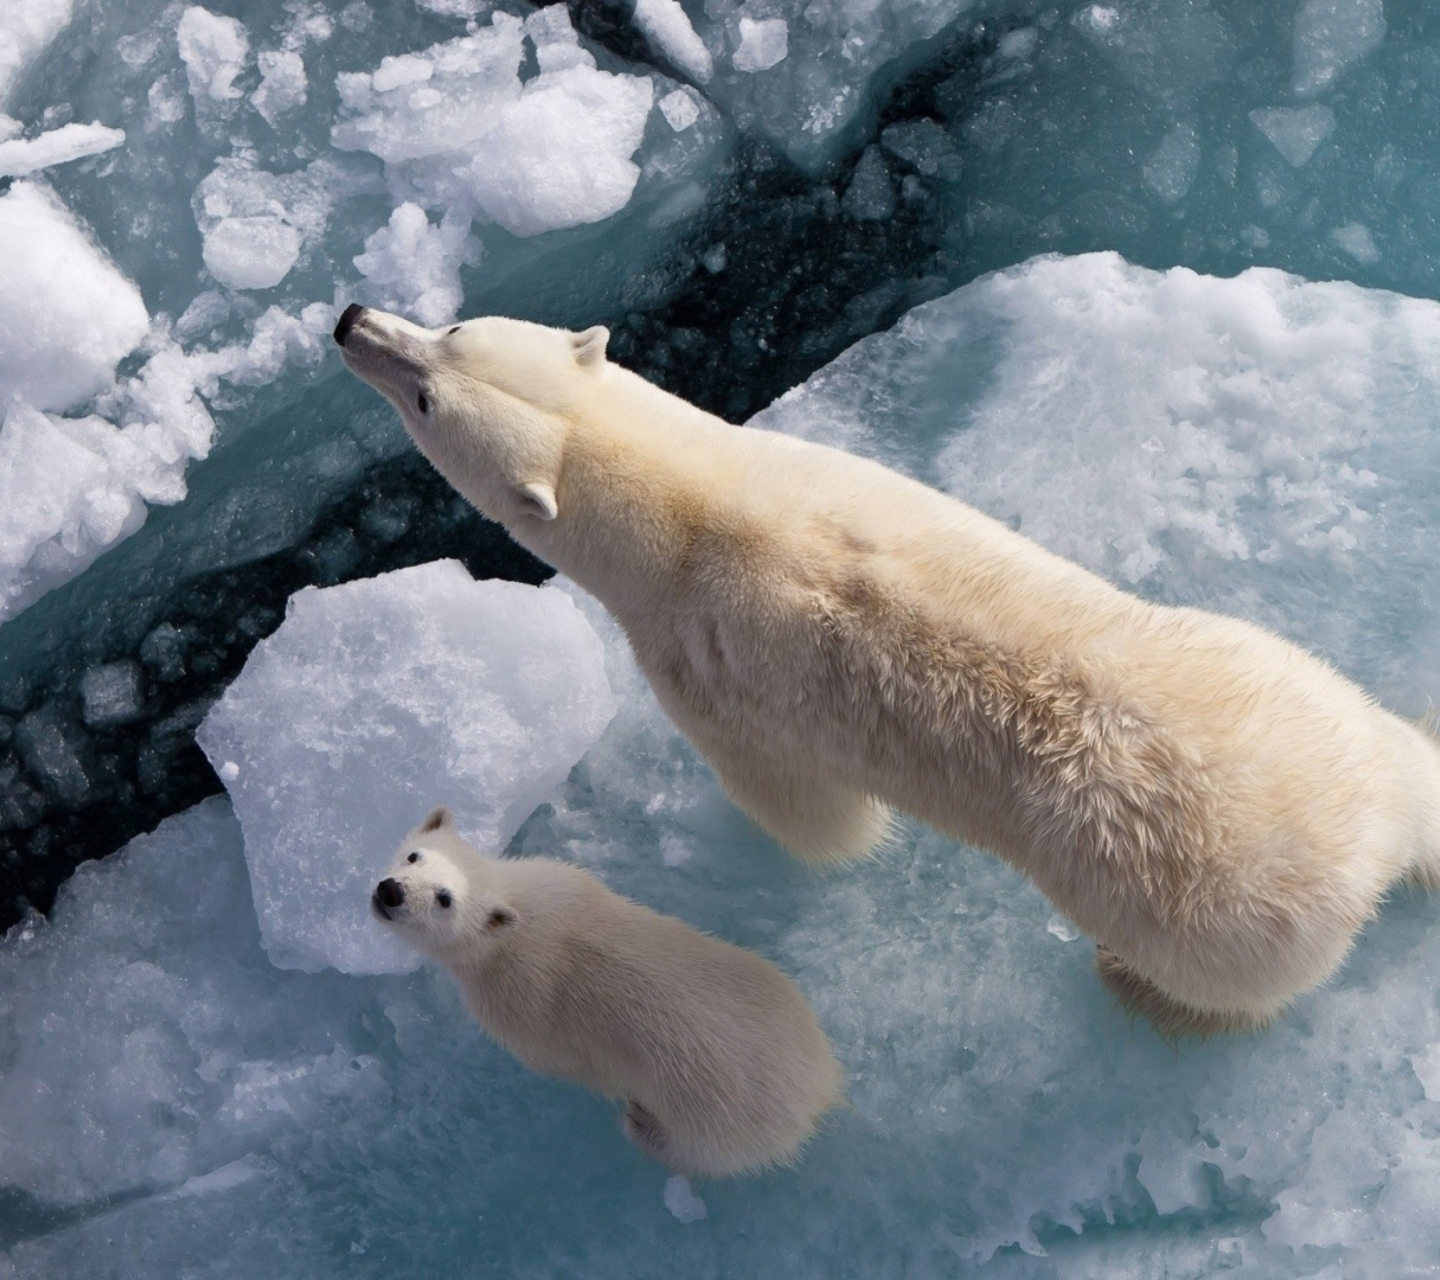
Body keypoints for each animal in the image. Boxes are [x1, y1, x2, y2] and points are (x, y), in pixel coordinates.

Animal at [331, 305, 1440, 1036]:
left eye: (427, 390)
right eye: (453, 329)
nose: (350, 320)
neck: (692, 509)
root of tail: (1365, 840)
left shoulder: (705, 669)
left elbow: (806, 812)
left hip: (1205, 908)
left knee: (1226, 981)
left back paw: (1134, 983)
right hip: (1293, 680)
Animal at [371, 806, 840, 1174]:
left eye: (444, 898)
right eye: (414, 855)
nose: (390, 891)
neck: (520, 919)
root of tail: (818, 1091)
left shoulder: (519, 1008)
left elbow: (562, 1063)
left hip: (715, 1121)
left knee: (695, 1153)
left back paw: (640, 1125)